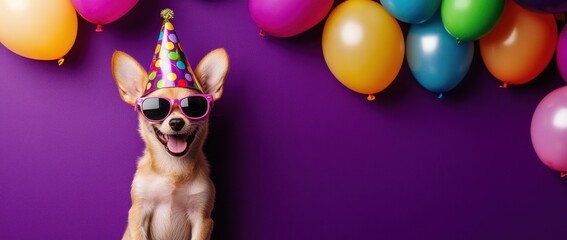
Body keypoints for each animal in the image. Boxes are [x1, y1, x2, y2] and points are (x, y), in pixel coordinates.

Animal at [112, 47, 230, 239]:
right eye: (155, 109)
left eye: (194, 107)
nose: (176, 122)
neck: (172, 167)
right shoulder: (138, 213)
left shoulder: (202, 218)